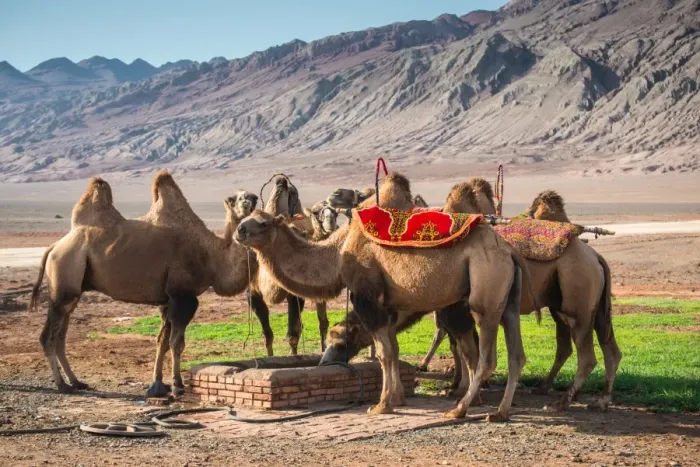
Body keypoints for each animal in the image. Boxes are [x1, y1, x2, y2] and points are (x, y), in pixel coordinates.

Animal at [30, 175, 255, 397]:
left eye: (249, 195)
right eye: (233, 198)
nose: (251, 198)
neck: (210, 256)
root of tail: (54, 247)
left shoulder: (167, 300)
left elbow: (162, 342)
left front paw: (158, 385)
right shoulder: (184, 296)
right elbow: (176, 343)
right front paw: (177, 385)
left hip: (73, 294)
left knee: (60, 337)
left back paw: (76, 382)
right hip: (63, 281)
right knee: (47, 337)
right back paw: (62, 385)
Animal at [235, 172, 533, 421]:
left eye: (263, 222)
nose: (239, 231)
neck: (339, 251)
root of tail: (509, 251)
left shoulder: (366, 296)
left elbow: (383, 353)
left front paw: (382, 405)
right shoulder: (388, 304)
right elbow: (393, 349)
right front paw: (397, 398)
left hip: (485, 293)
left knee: (486, 356)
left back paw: (459, 409)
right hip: (508, 300)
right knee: (515, 354)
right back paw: (499, 412)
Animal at [421, 179, 622, 412]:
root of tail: (596, 257)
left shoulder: (459, 306)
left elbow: (462, 345)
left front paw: (463, 391)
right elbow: (460, 345)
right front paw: (458, 387)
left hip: (579, 295)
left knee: (586, 354)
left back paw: (561, 401)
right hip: (587, 305)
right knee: (605, 346)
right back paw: (595, 398)